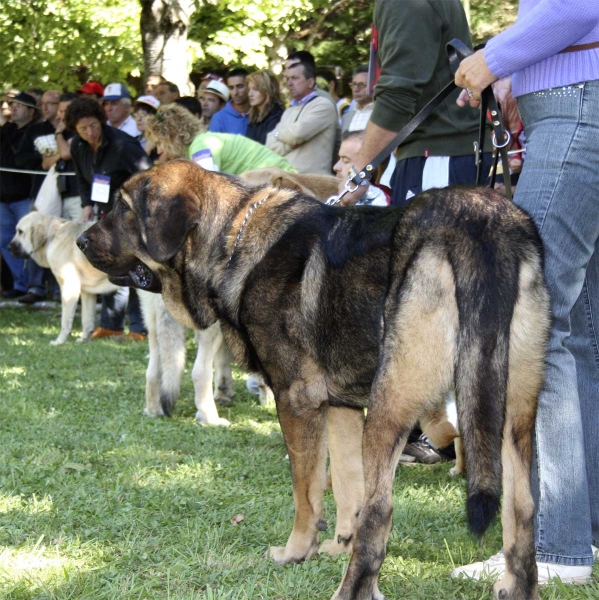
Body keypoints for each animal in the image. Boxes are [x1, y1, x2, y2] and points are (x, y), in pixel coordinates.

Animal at [8, 212, 119, 344]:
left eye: (20, 232)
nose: (8, 248)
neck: (52, 235)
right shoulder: (87, 292)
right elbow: (87, 320)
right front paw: (84, 339)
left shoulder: (69, 287)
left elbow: (65, 320)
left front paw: (59, 341)